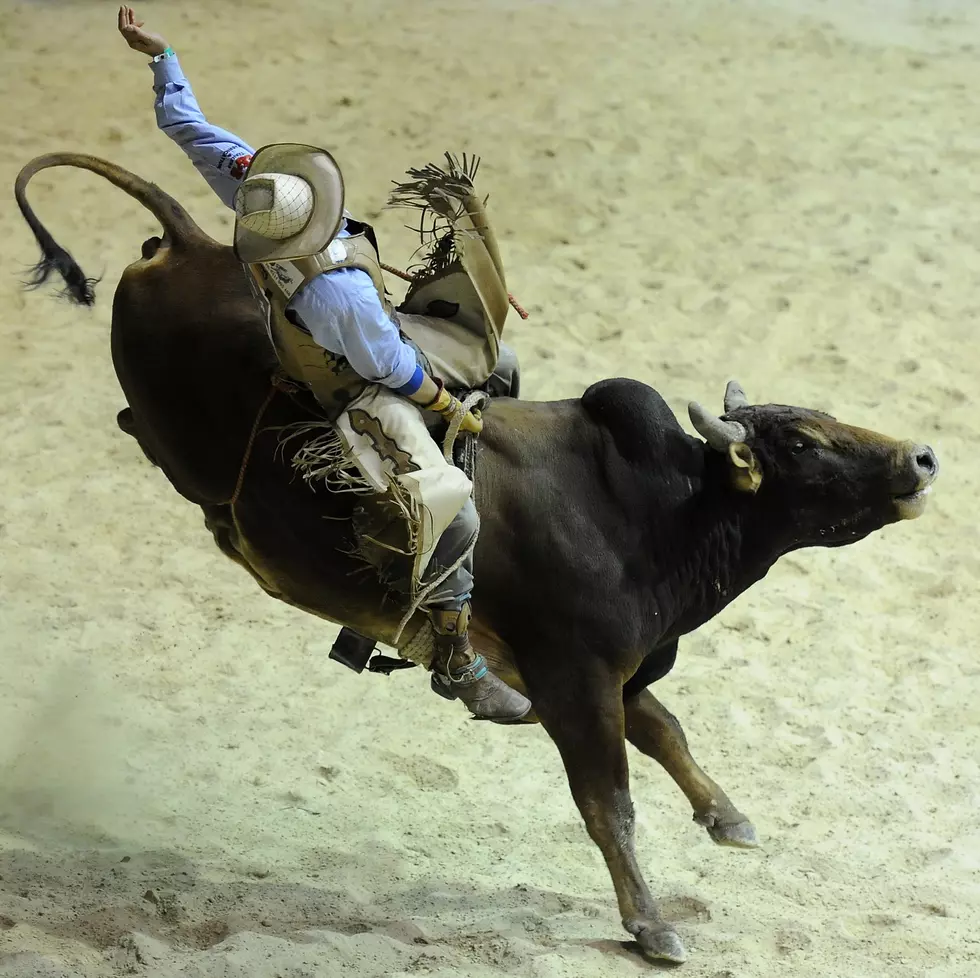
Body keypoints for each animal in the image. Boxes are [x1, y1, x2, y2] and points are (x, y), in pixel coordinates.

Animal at [11, 156, 936, 964]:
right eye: (804, 442)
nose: (922, 458)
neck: (651, 516)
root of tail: (192, 244)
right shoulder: (576, 680)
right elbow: (610, 802)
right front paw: (652, 927)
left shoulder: (604, 673)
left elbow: (664, 730)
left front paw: (728, 820)